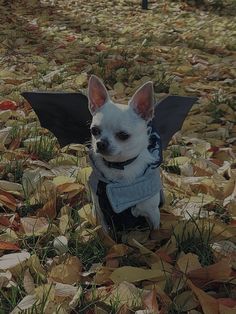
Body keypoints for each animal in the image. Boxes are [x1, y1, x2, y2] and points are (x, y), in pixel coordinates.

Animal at [87, 75, 163, 234]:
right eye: (94, 131)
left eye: (123, 135)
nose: (101, 143)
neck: (119, 166)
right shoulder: (102, 213)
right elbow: (107, 234)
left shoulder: (152, 213)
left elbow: (155, 233)